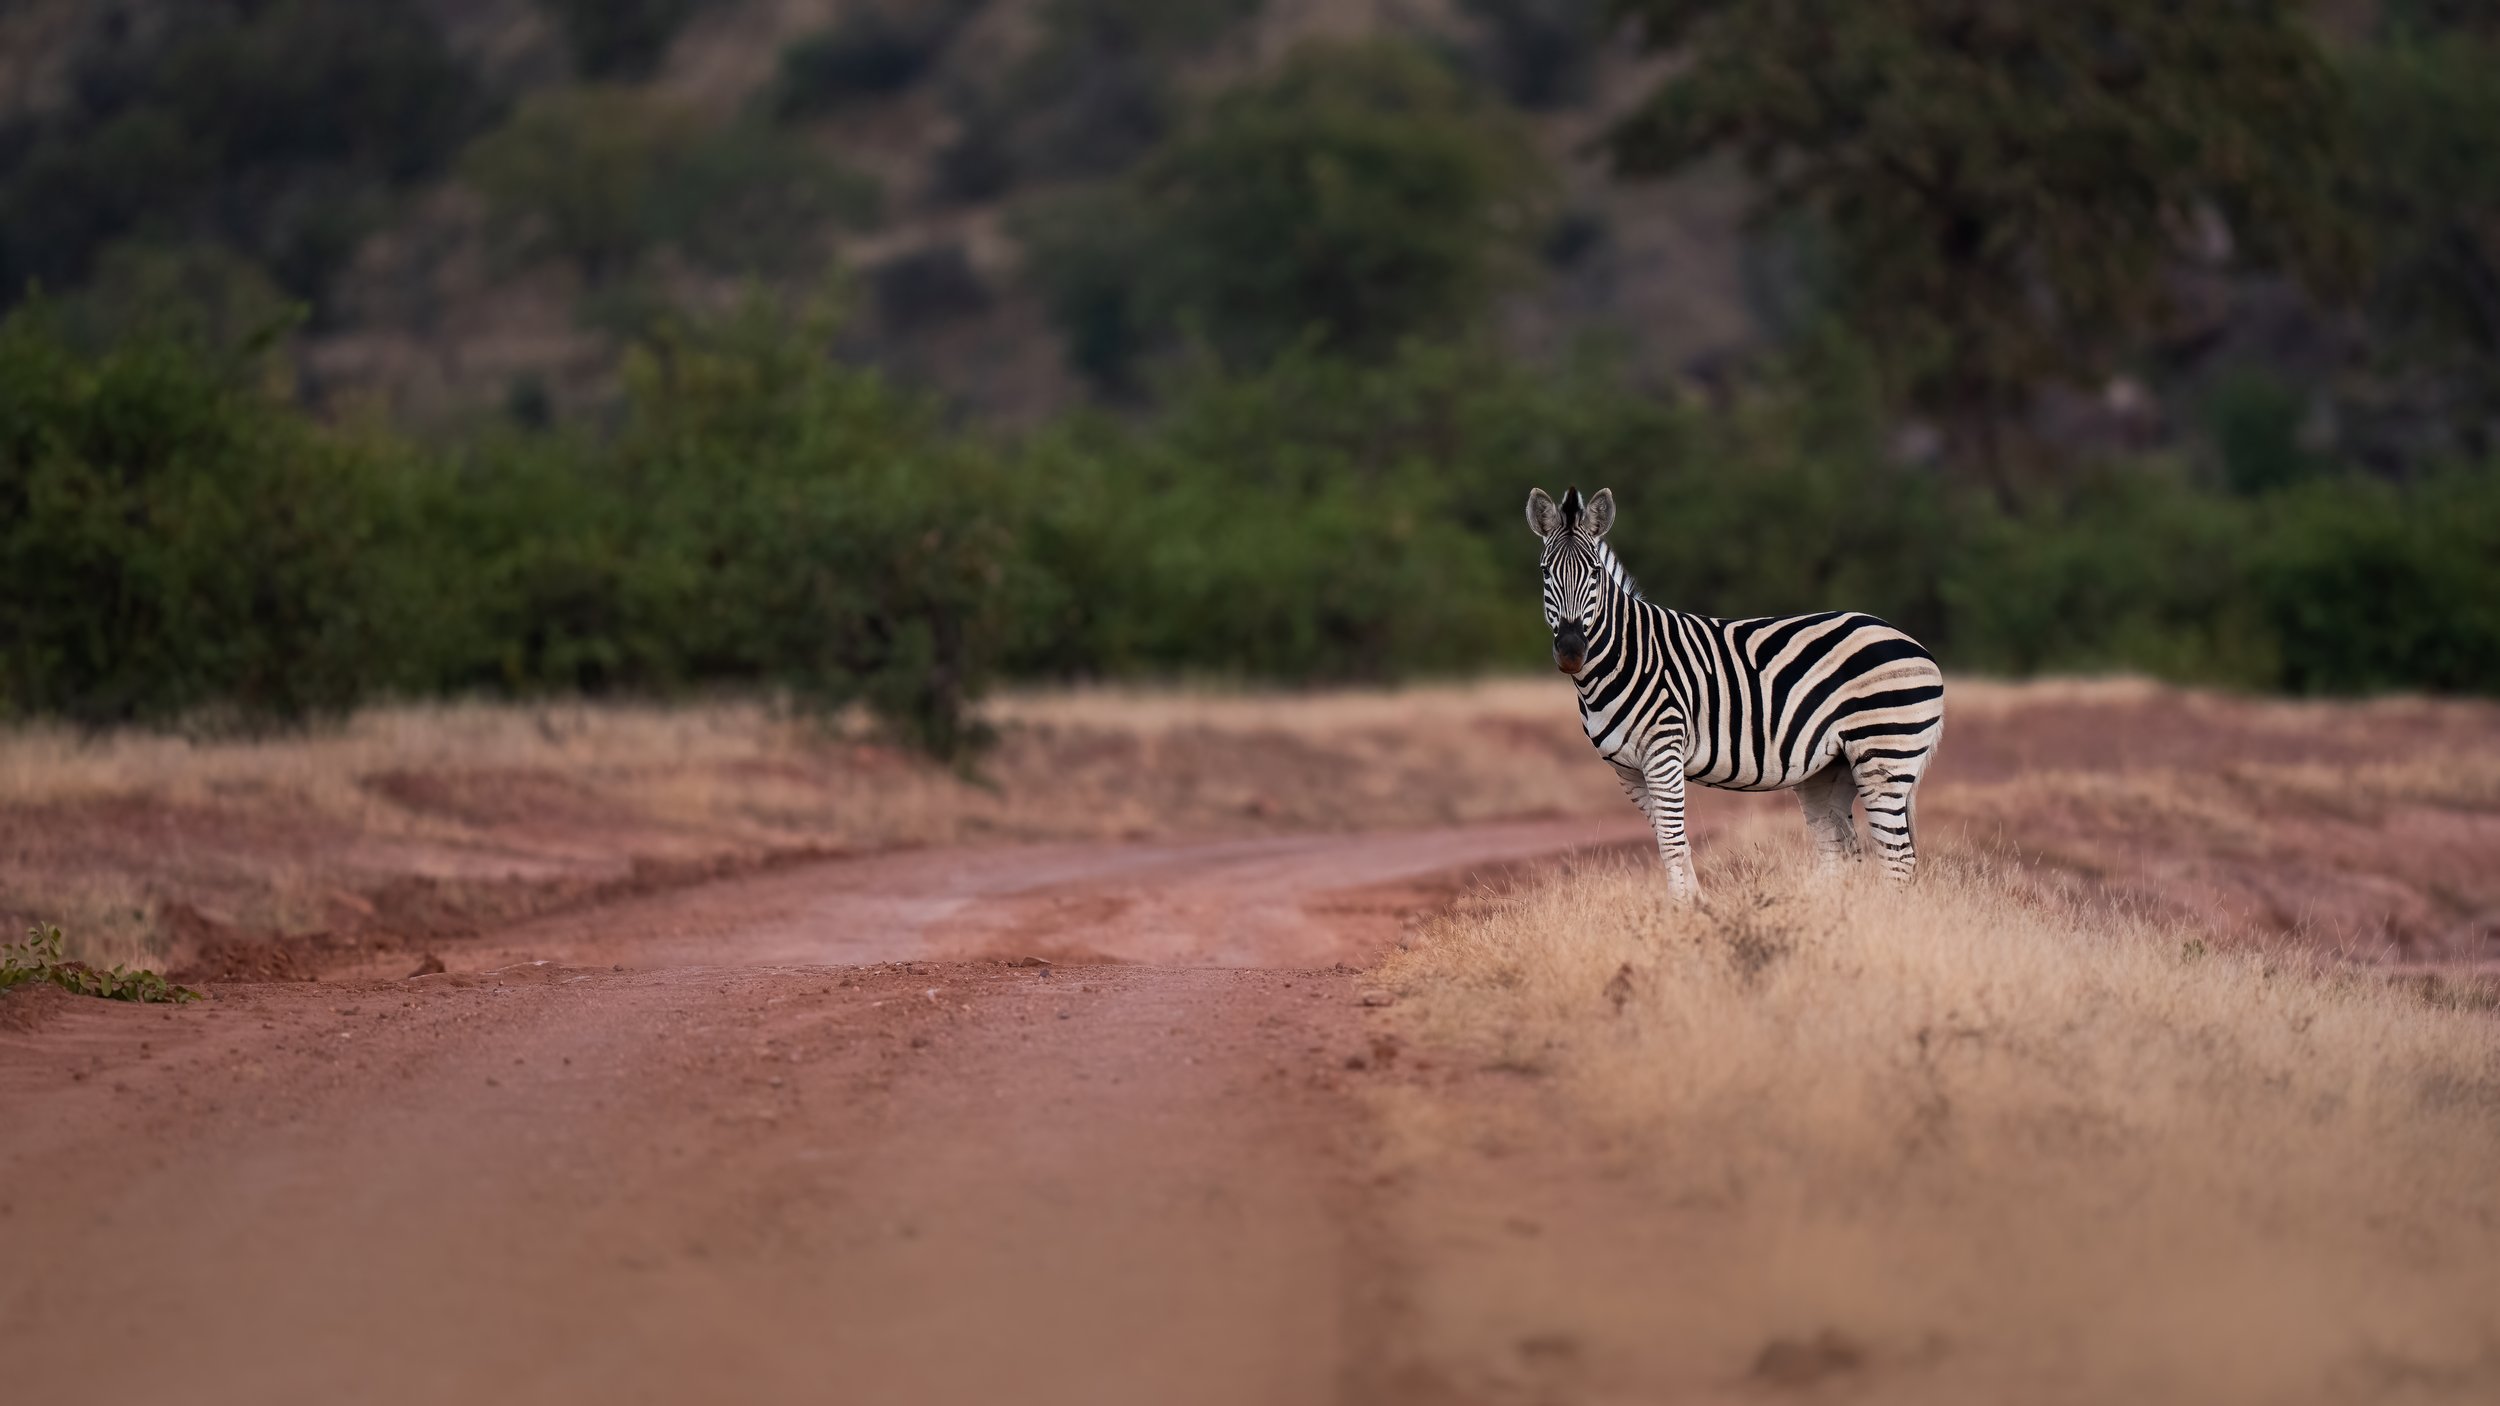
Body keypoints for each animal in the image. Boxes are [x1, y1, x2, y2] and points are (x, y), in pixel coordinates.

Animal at [1529, 485, 1945, 902]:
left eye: (1595, 572)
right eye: (1545, 572)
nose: (1571, 651)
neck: (1626, 655)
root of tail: (1909, 640)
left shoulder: (1663, 751)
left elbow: (1673, 843)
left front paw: (1683, 910)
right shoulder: (1628, 770)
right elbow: (1670, 845)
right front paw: (1694, 906)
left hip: (1884, 754)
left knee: (1898, 857)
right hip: (1830, 768)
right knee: (1841, 852)